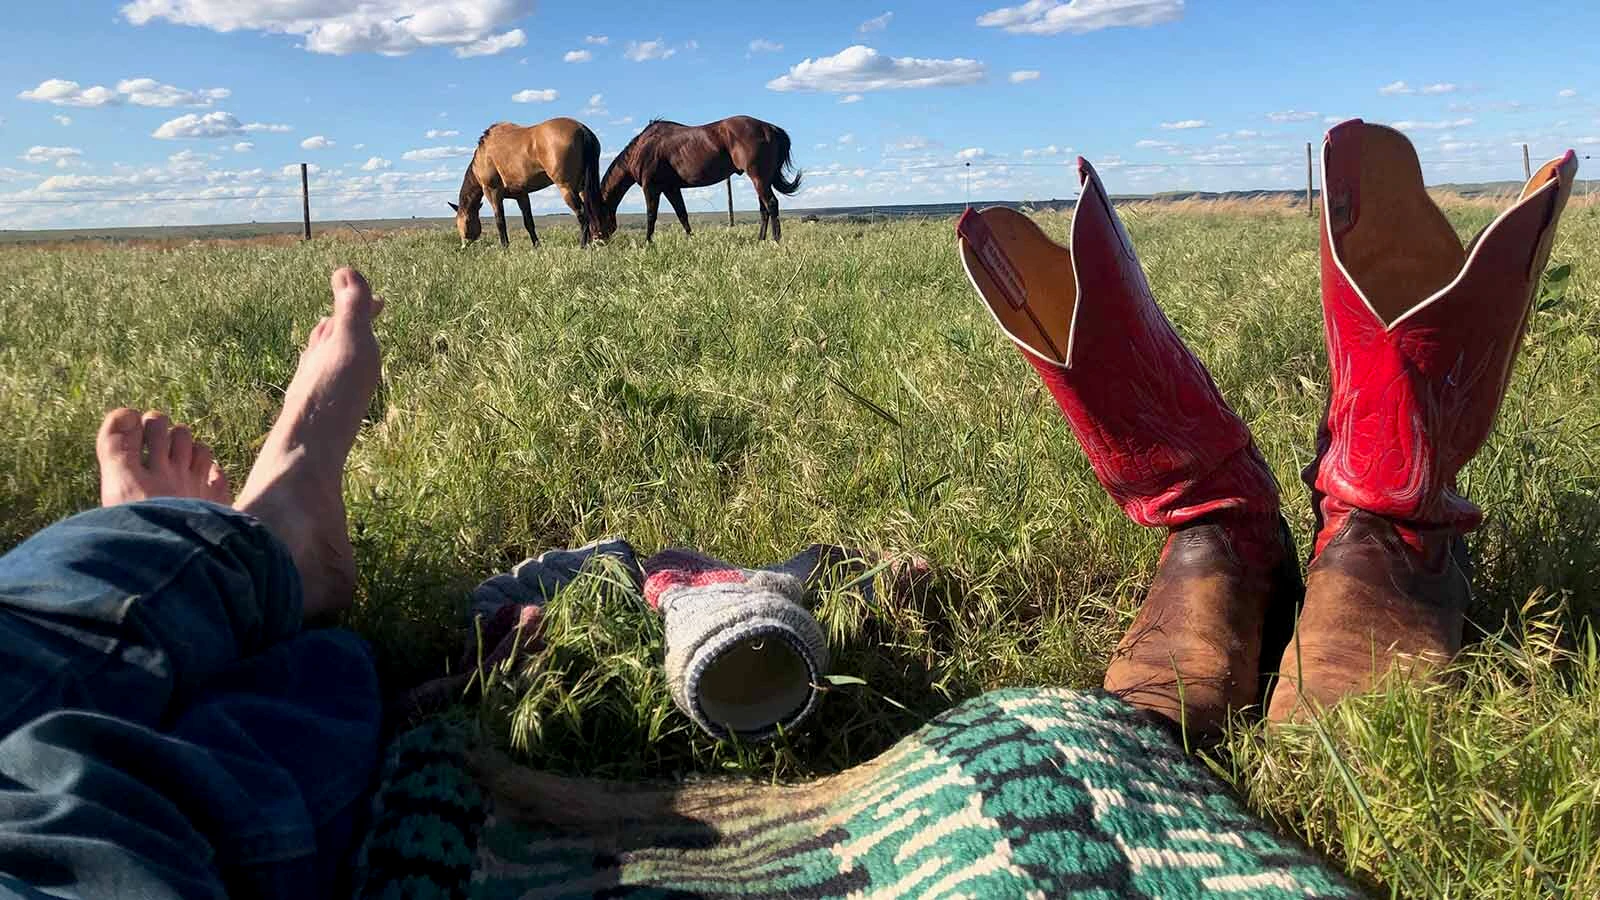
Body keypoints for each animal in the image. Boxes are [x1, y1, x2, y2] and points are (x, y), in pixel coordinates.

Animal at [449, 117, 603, 248]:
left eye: (466, 221)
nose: (464, 245)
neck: (483, 156)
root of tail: (581, 128)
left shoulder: (492, 192)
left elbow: (500, 221)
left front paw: (504, 247)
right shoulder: (521, 195)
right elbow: (528, 222)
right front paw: (536, 246)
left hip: (566, 187)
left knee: (582, 214)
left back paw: (583, 246)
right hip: (581, 188)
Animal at [597, 116, 801, 243]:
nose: (599, 242)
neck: (643, 148)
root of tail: (769, 128)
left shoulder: (651, 187)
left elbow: (651, 216)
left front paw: (648, 243)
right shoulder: (671, 188)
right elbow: (682, 214)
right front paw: (691, 239)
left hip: (758, 178)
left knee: (771, 204)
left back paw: (776, 240)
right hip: (761, 179)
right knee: (764, 209)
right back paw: (760, 240)